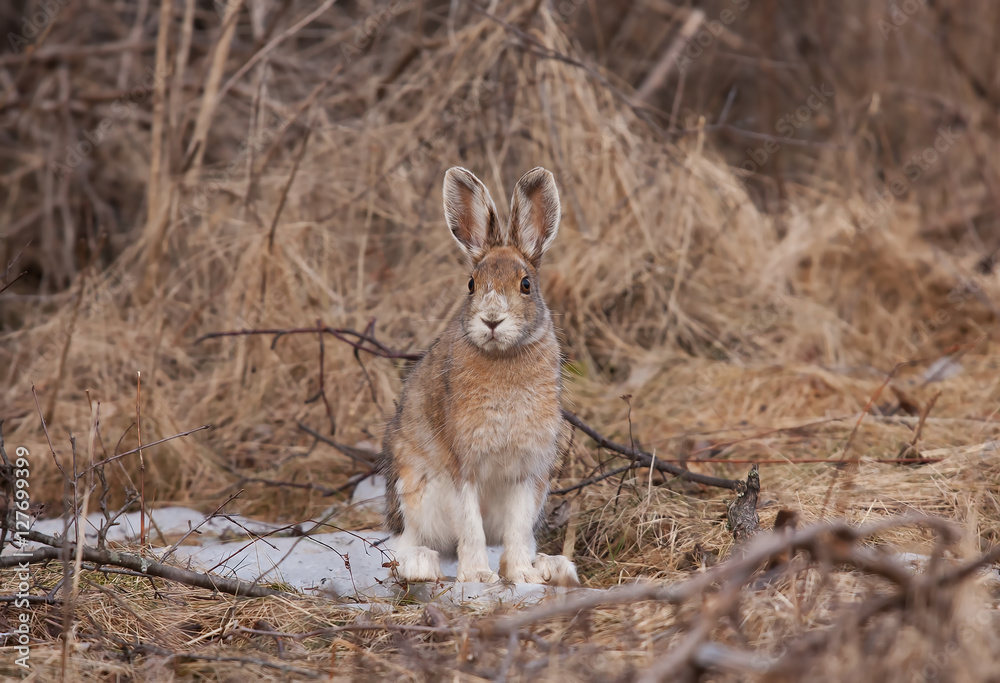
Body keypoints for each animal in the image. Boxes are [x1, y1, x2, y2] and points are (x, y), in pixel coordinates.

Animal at [379, 166, 579, 586]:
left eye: (526, 284)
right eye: (471, 284)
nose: (491, 320)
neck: (503, 357)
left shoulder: (529, 473)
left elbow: (518, 529)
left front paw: (522, 577)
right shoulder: (462, 465)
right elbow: (469, 525)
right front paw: (476, 577)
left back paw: (552, 567)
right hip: (412, 486)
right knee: (403, 542)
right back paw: (420, 565)